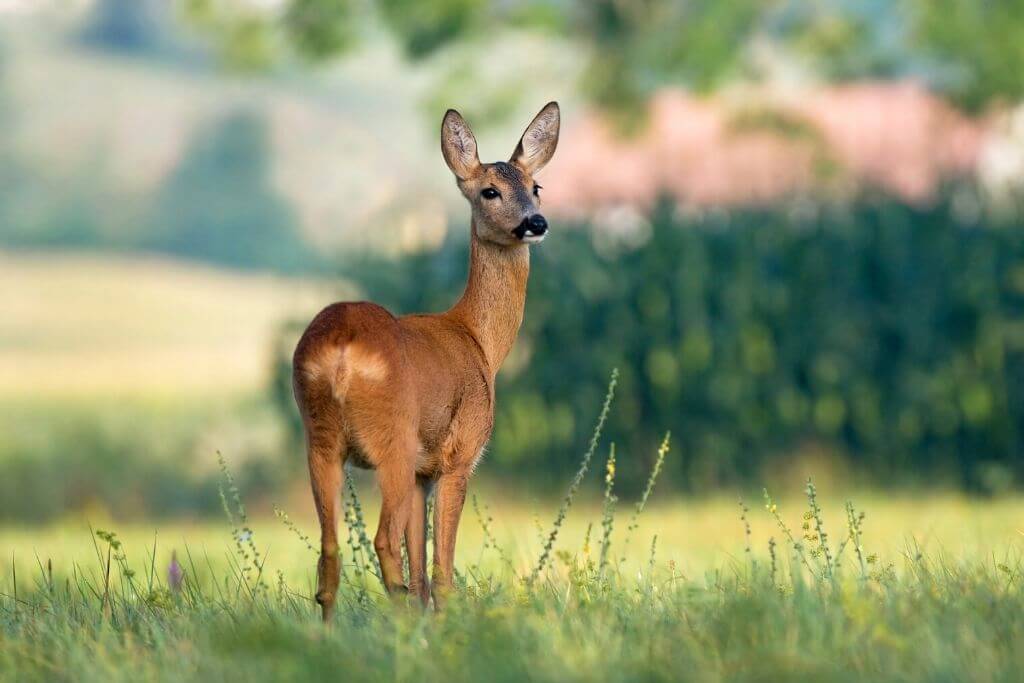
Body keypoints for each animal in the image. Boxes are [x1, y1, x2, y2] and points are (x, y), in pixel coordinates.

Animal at [292, 102, 561, 618]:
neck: (478, 340)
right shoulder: (458, 456)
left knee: (329, 554)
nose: (535, 223)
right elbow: (441, 572)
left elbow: (421, 570)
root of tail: (340, 352)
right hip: (392, 439)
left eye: (535, 186)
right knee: (381, 543)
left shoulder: (423, 473)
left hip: (320, 439)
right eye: (489, 190)